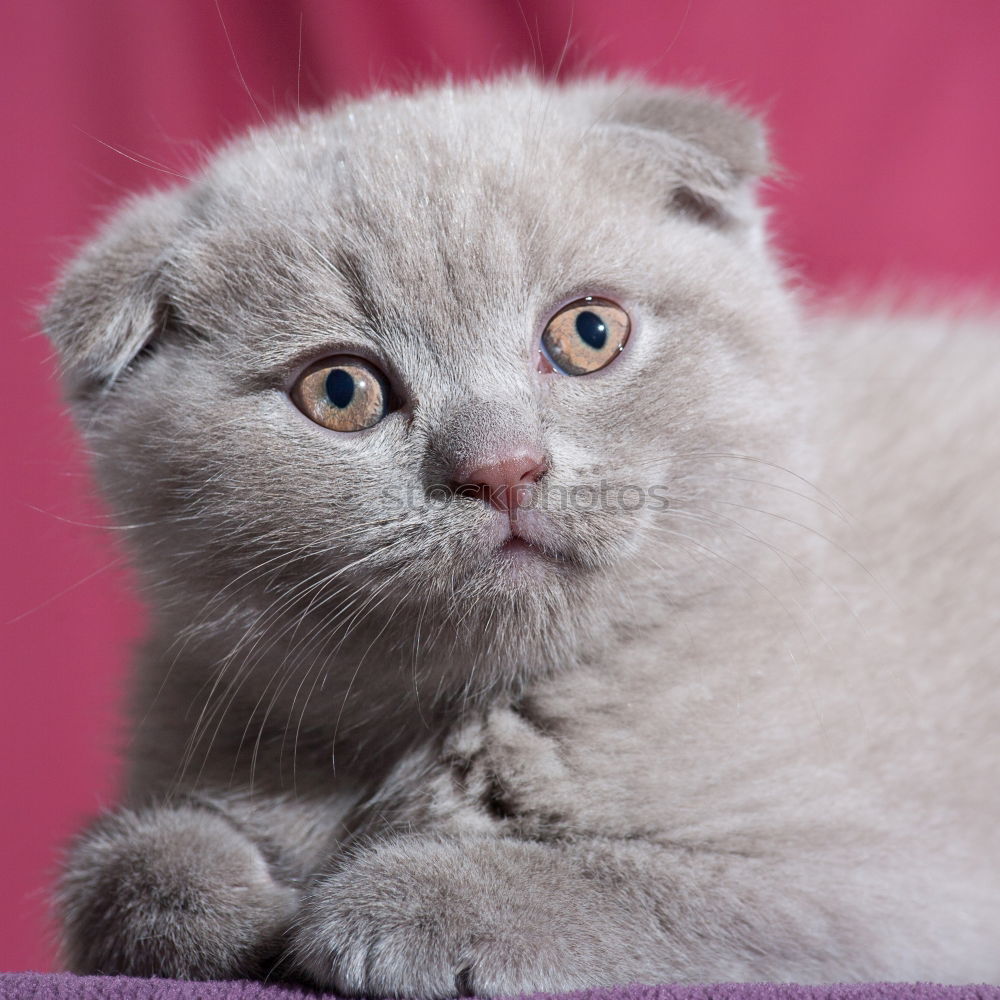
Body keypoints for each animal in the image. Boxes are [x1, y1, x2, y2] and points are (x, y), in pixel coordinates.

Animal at [41, 78, 1000, 992]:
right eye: (340, 391)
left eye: (588, 332)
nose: (501, 465)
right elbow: (112, 871)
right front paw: (223, 897)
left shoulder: (893, 890)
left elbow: (648, 884)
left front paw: (406, 897)